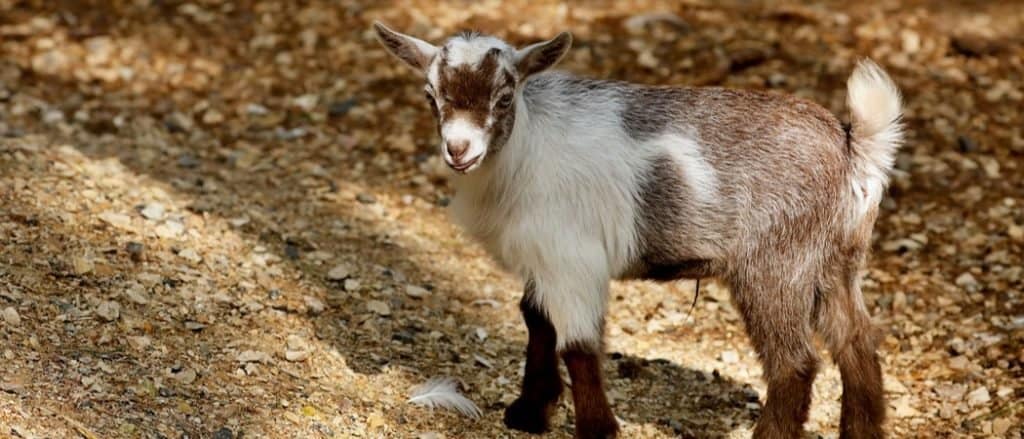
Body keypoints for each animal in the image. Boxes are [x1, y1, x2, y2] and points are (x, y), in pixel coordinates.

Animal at [376, 21, 905, 437]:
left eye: (505, 96)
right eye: (430, 95)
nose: (459, 150)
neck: (526, 149)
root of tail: (853, 147)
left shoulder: (573, 258)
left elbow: (579, 346)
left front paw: (596, 428)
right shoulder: (543, 256)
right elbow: (536, 320)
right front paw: (529, 412)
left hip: (776, 265)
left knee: (794, 362)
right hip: (836, 262)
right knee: (857, 343)